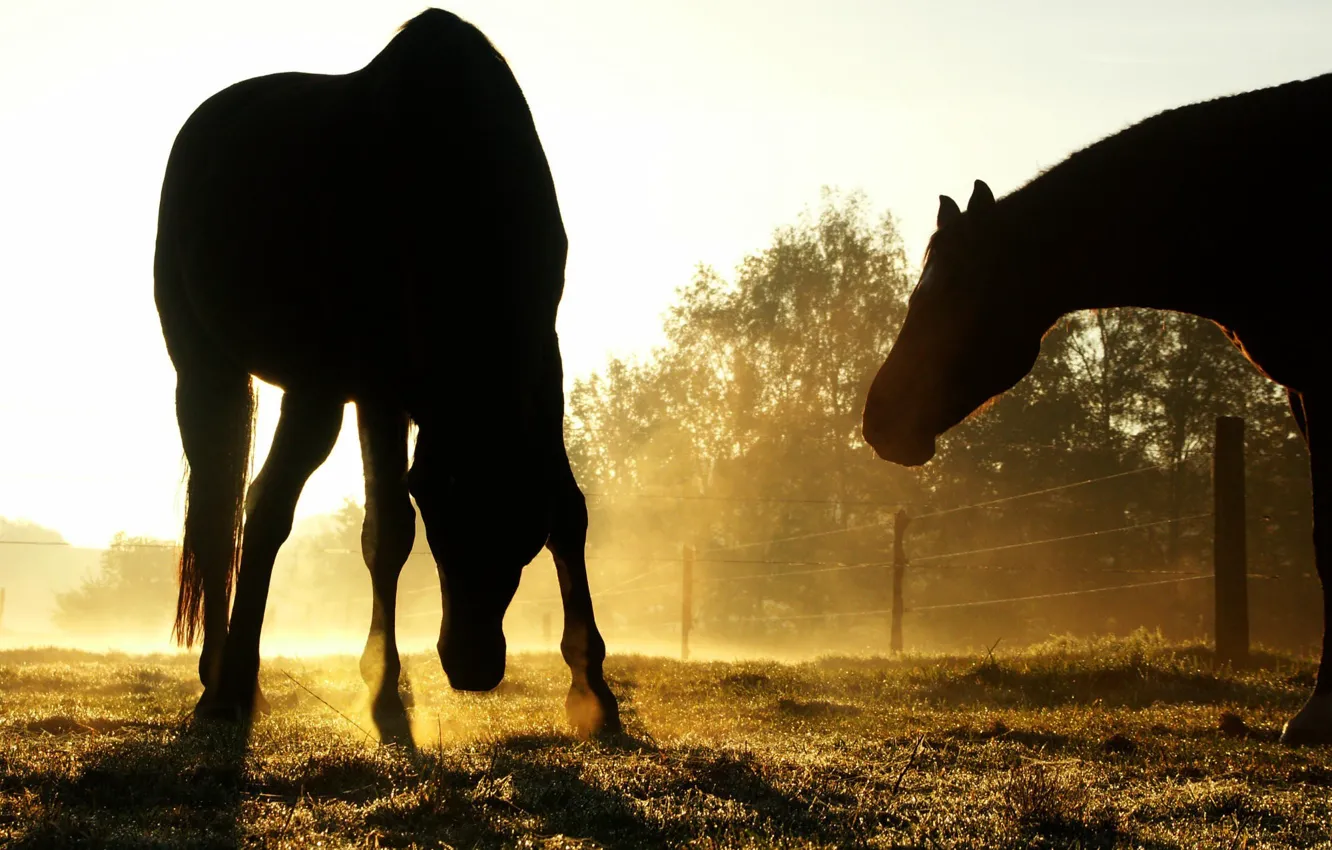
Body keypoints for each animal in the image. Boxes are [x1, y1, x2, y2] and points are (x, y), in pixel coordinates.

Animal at [153, 6, 620, 740]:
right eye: (445, 522)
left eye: (520, 534)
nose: (472, 667)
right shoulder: (353, 386)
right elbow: (361, 526)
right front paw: (372, 690)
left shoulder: (538, 367)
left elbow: (565, 511)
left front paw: (592, 690)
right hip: (209, 369)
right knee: (225, 513)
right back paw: (222, 682)